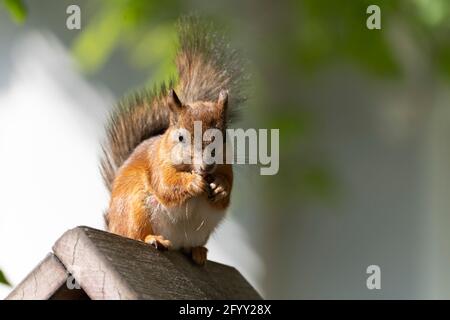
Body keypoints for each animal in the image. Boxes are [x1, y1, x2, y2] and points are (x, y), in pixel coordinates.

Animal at [99, 15, 246, 264]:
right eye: (180, 137)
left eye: (223, 136)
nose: (207, 166)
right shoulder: (158, 164)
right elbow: (167, 185)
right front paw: (193, 183)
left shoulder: (227, 167)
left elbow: (227, 189)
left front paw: (220, 187)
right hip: (134, 208)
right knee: (136, 233)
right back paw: (154, 239)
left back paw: (197, 251)